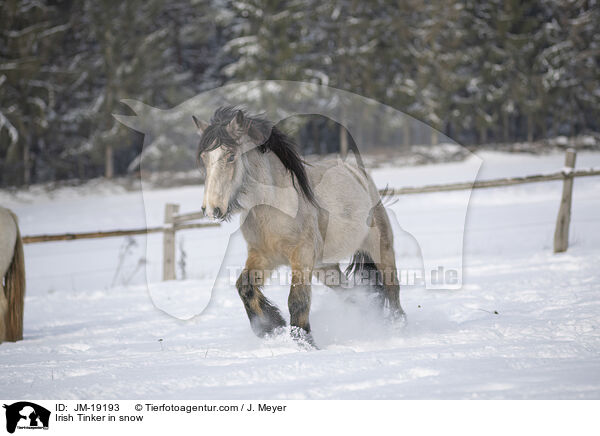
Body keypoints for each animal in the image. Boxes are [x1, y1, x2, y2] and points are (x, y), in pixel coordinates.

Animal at [195, 107, 406, 346]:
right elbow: (244, 287)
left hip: (381, 248)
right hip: (326, 269)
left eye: (230, 156)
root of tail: (357, 172)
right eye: (204, 158)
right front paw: (271, 326)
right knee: (351, 294)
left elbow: (297, 300)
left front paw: (304, 342)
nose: (211, 209)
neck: (272, 207)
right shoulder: (263, 256)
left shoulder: (302, 256)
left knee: (392, 288)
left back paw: (397, 327)